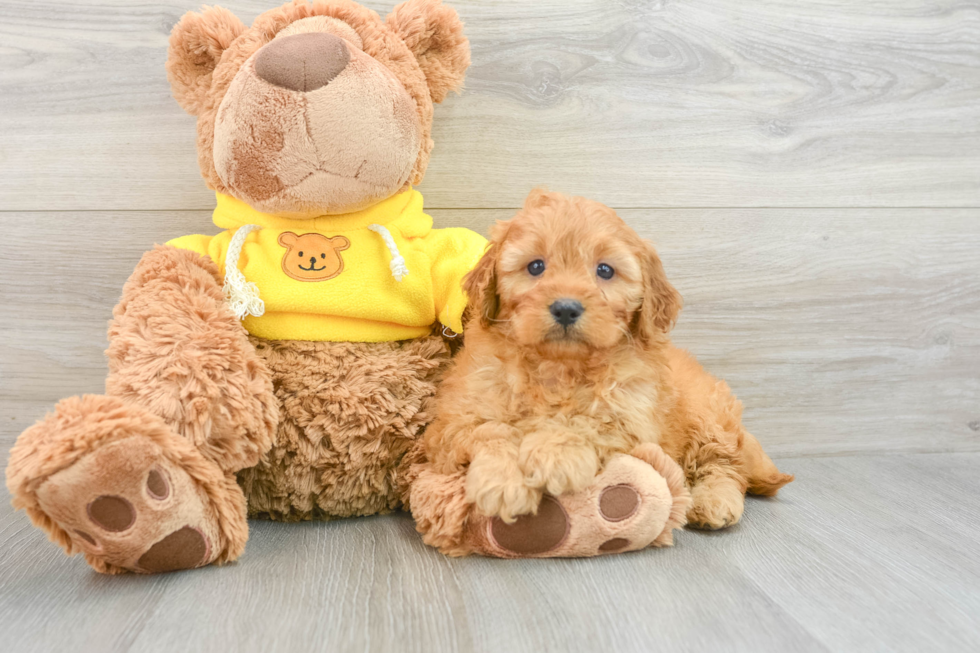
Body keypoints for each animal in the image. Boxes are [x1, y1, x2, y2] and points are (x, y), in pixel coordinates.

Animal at [424, 188, 792, 528]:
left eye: (605, 270)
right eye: (536, 266)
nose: (566, 308)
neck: (560, 367)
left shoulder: (635, 417)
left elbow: (591, 422)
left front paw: (555, 452)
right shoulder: (453, 420)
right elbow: (488, 431)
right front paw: (501, 481)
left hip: (708, 416)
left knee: (725, 465)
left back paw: (714, 500)